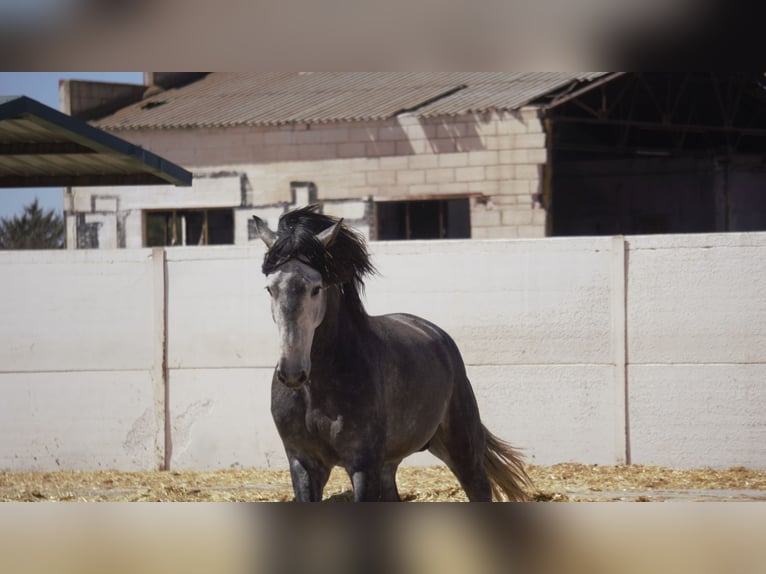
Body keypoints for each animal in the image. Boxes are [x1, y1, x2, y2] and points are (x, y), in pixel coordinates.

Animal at [255, 208, 532, 504]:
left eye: (315, 288)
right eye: (270, 288)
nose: (292, 373)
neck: (320, 389)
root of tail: (437, 335)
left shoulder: (363, 466)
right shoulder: (304, 464)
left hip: (462, 448)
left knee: (478, 486)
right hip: (394, 461)